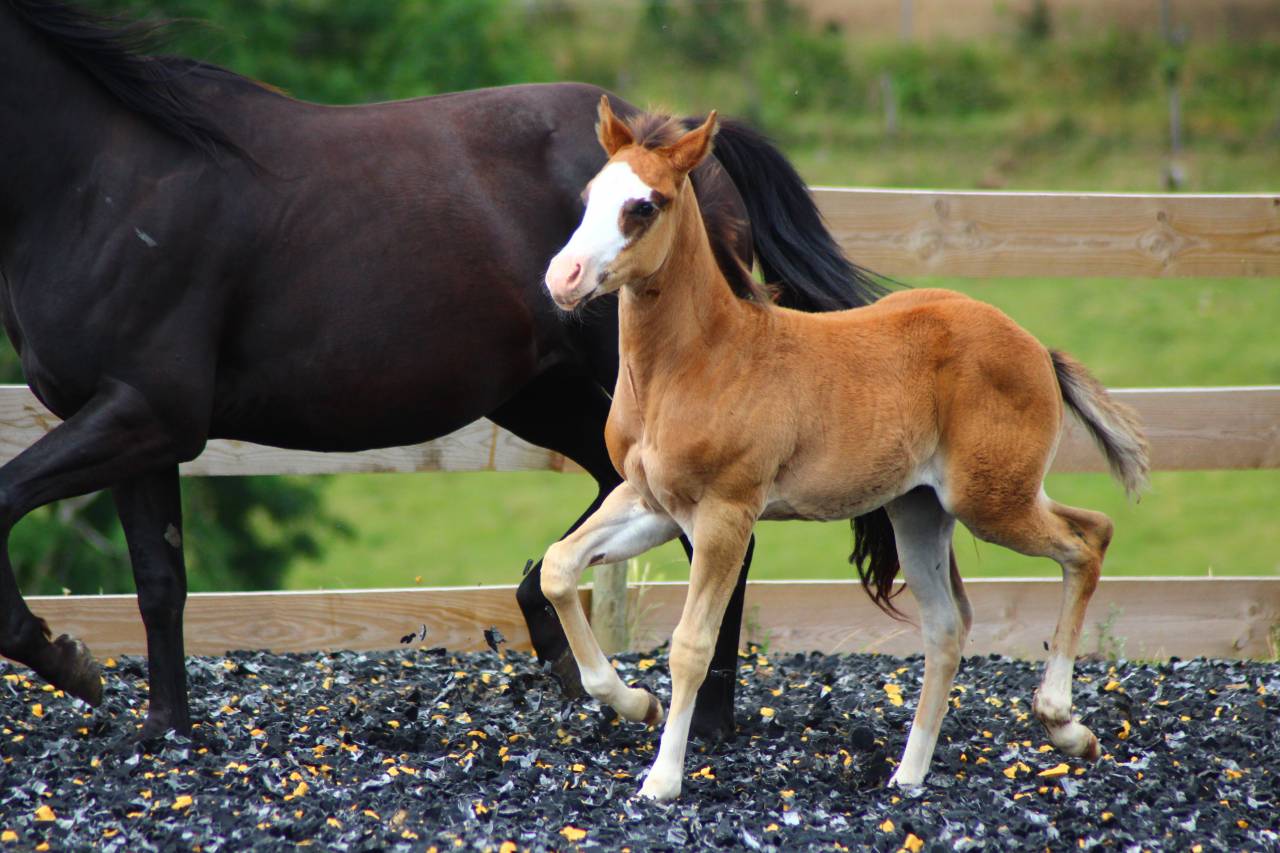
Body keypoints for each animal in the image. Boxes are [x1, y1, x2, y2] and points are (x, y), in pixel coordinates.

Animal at [0, 1, 887, 740]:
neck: (101, 182)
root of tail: (688, 145)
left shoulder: (146, 411)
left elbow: (5, 501)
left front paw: (68, 661)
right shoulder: (140, 421)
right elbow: (159, 578)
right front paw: (165, 729)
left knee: (712, 534)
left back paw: (702, 722)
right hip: (545, 393)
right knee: (620, 500)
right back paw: (588, 666)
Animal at [539, 99, 1150, 800]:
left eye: (646, 205)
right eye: (588, 196)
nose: (563, 278)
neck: (698, 361)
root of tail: (1034, 348)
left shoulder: (726, 513)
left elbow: (692, 644)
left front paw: (661, 781)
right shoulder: (653, 504)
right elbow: (559, 567)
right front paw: (635, 702)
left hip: (991, 500)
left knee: (1089, 538)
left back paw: (1063, 724)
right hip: (921, 511)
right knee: (948, 626)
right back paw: (908, 776)